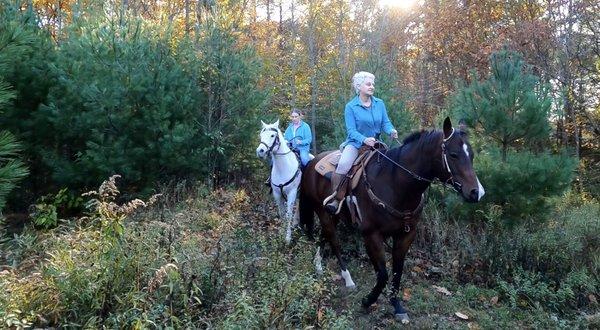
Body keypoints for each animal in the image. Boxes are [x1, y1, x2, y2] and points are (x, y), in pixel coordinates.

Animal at [298, 116, 486, 322]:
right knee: (334, 241)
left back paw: (318, 265)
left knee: (323, 236)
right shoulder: (371, 235)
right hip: (323, 212)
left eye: (472, 155)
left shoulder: (406, 235)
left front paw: (397, 306)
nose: (477, 193)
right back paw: (347, 278)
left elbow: (397, 271)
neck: (394, 183)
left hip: (334, 215)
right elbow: (383, 275)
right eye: (453, 154)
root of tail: (312, 161)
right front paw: (368, 301)